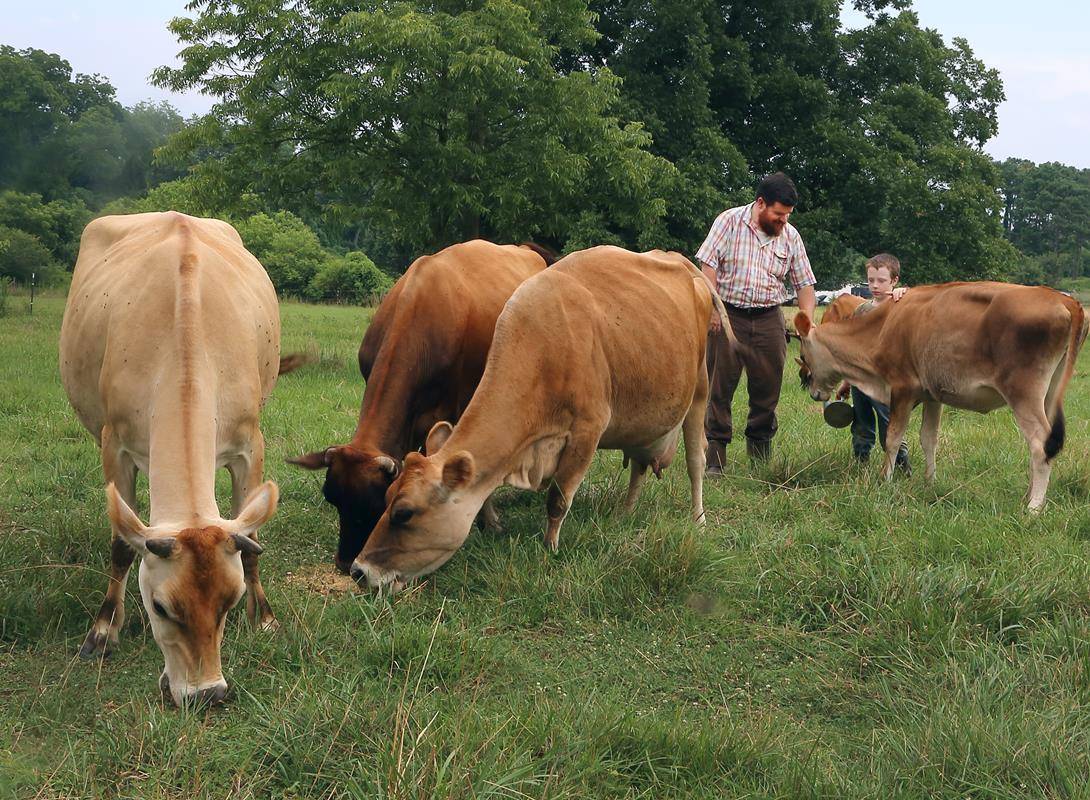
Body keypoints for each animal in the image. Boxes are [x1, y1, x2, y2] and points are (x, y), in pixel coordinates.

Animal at [60, 211, 283, 706]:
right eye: (161, 607)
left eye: (230, 600)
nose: (207, 694)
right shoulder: (115, 445)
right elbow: (123, 546)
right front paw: (103, 630)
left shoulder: (250, 444)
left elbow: (253, 540)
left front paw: (263, 617)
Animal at [349, 245, 733, 593]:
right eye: (386, 497)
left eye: (404, 513)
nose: (358, 570)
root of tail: (678, 260)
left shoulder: (587, 430)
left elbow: (558, 499)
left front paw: (550, 548)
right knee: (639, 464)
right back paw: (624, 512)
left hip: (700, 390)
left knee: (695, 461)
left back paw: (698, 519)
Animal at [793, 282, 1087, 510]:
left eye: (804, 356)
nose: (811, 388)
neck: (883, 327)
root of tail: (1063, 299)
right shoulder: (933, 395)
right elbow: (928, 439)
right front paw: (929, 482)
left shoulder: (902, 387)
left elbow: (893, 438)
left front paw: (884, 479)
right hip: (1048, 393)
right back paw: (1028, 496)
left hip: (1023, 392)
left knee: (1040, 442)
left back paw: (1034, 506)